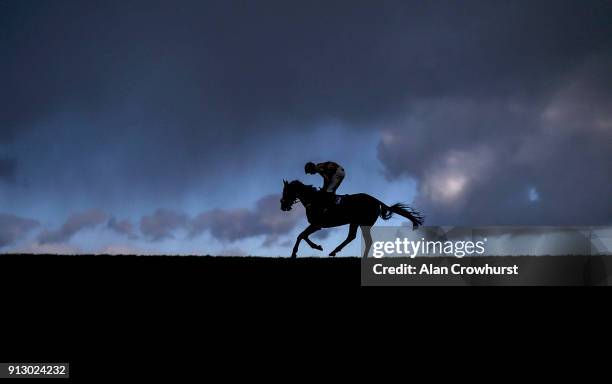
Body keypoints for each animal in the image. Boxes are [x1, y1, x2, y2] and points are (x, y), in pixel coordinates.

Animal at [280, 180, 424, 258]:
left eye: (286, 192)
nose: (282, 206)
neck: (314, 200)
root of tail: (376, 201)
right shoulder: (316, 225)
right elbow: (303, 235)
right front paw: (317, 247)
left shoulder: (317, 224)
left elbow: (301, 235)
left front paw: (295, 253)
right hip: (355, 223)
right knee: (352, 237)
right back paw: (334, 251)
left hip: (362, 223)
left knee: (366, 240)